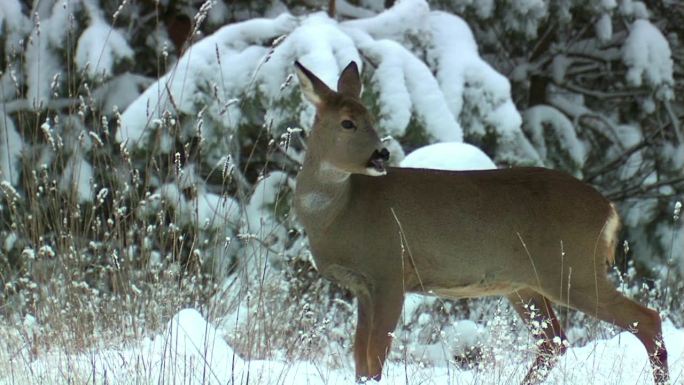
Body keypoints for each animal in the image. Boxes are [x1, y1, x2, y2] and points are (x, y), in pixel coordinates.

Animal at [292, 60, 672, 384]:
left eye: (370, 117)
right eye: (348, 122)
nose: (381, 155)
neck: (339, 215)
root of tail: (608, 209)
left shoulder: (390, 272)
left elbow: (374, 360)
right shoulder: (361, 287)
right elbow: (360, 360)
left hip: (572, 268)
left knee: (647, 320)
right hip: (526, 283)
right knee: (554, 341)